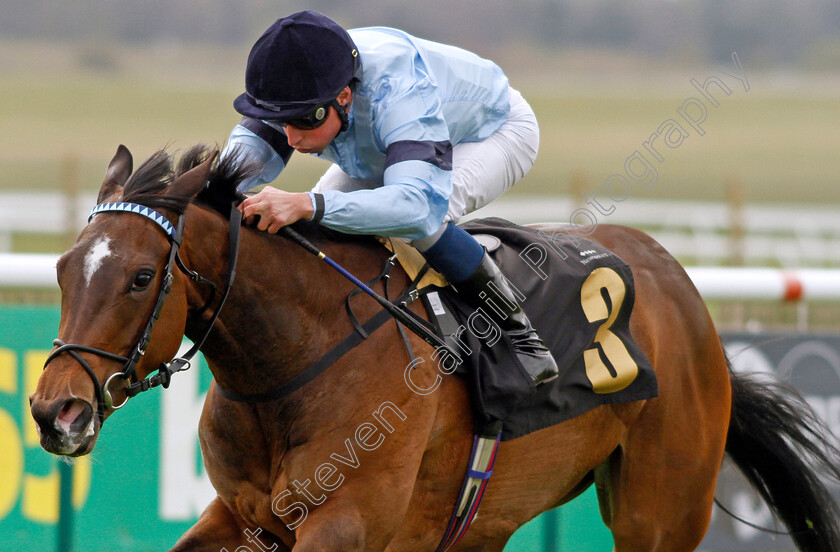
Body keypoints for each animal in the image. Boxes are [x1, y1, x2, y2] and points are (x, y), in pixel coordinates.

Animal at [27, 144, 840, 548]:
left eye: (140, 277)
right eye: (64, 269)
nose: (53, 412)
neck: (292, 363)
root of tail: (683, 288)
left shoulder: (345, 525)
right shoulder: (240, 515)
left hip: (661, 510)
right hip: (485, 519)